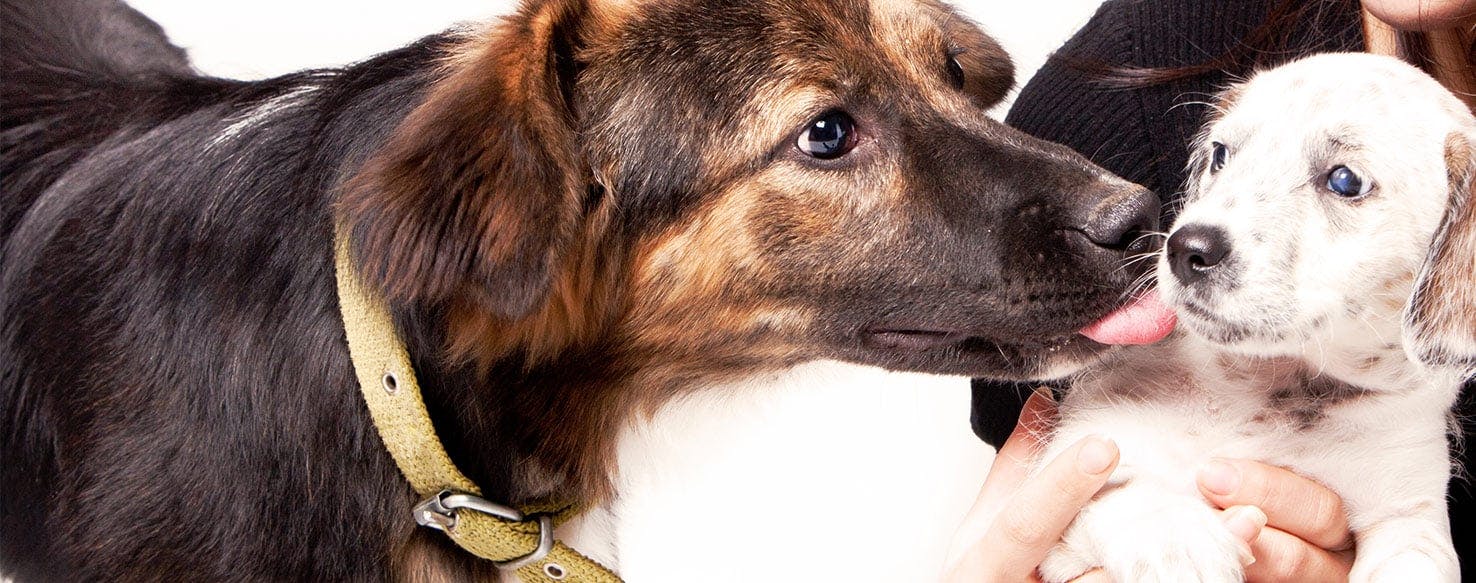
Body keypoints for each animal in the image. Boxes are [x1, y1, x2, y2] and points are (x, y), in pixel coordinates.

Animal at [1039, 52, 1476, 581]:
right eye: (1221, 154)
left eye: (1345, 180)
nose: (1186, 248)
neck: (1267, 389)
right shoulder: (1078, 460)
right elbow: (1125, 493)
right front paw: (1180, 542)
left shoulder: (1408, 517)